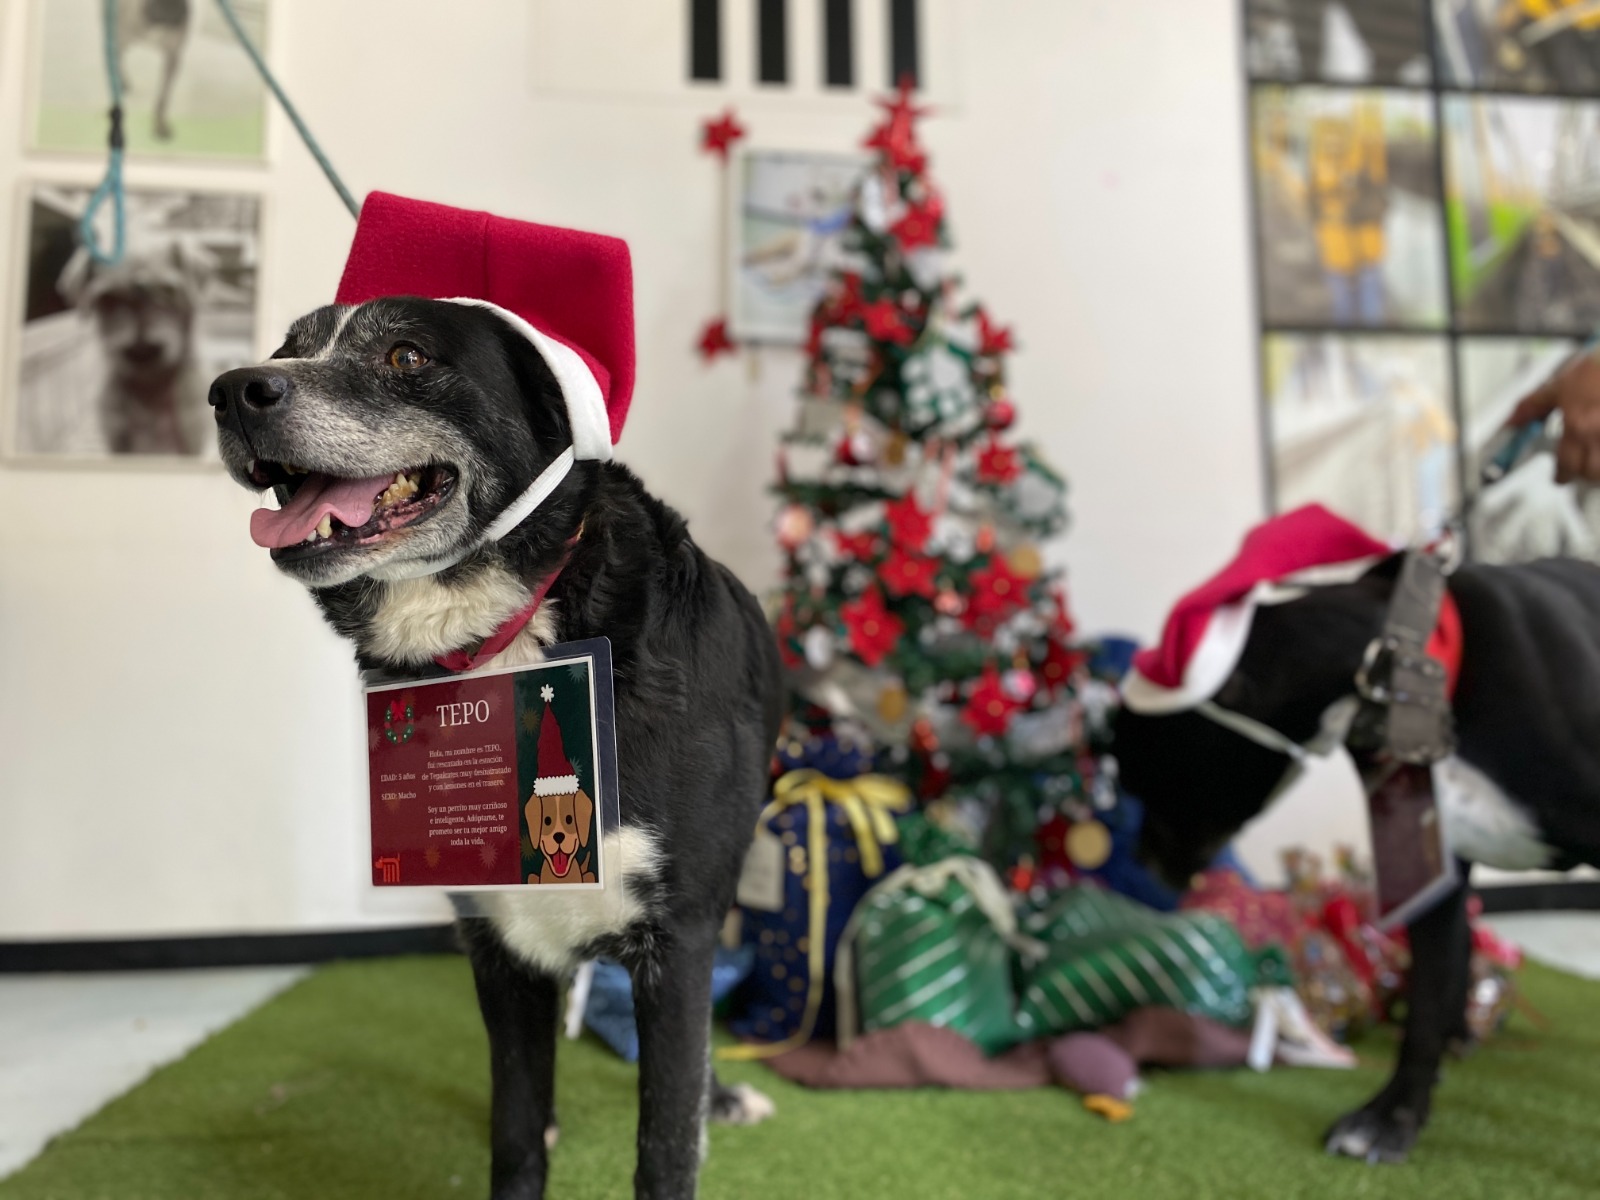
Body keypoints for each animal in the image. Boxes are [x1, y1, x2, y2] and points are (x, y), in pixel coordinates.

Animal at [209, 294, 784, 1200]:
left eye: (407, 356)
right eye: (284, 350)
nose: (231, 391)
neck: (508, 636)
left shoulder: (681, 933)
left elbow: (665, 1136)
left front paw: (692, 1118)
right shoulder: (497, 938)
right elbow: (515, 1127)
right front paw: (531, 1135)